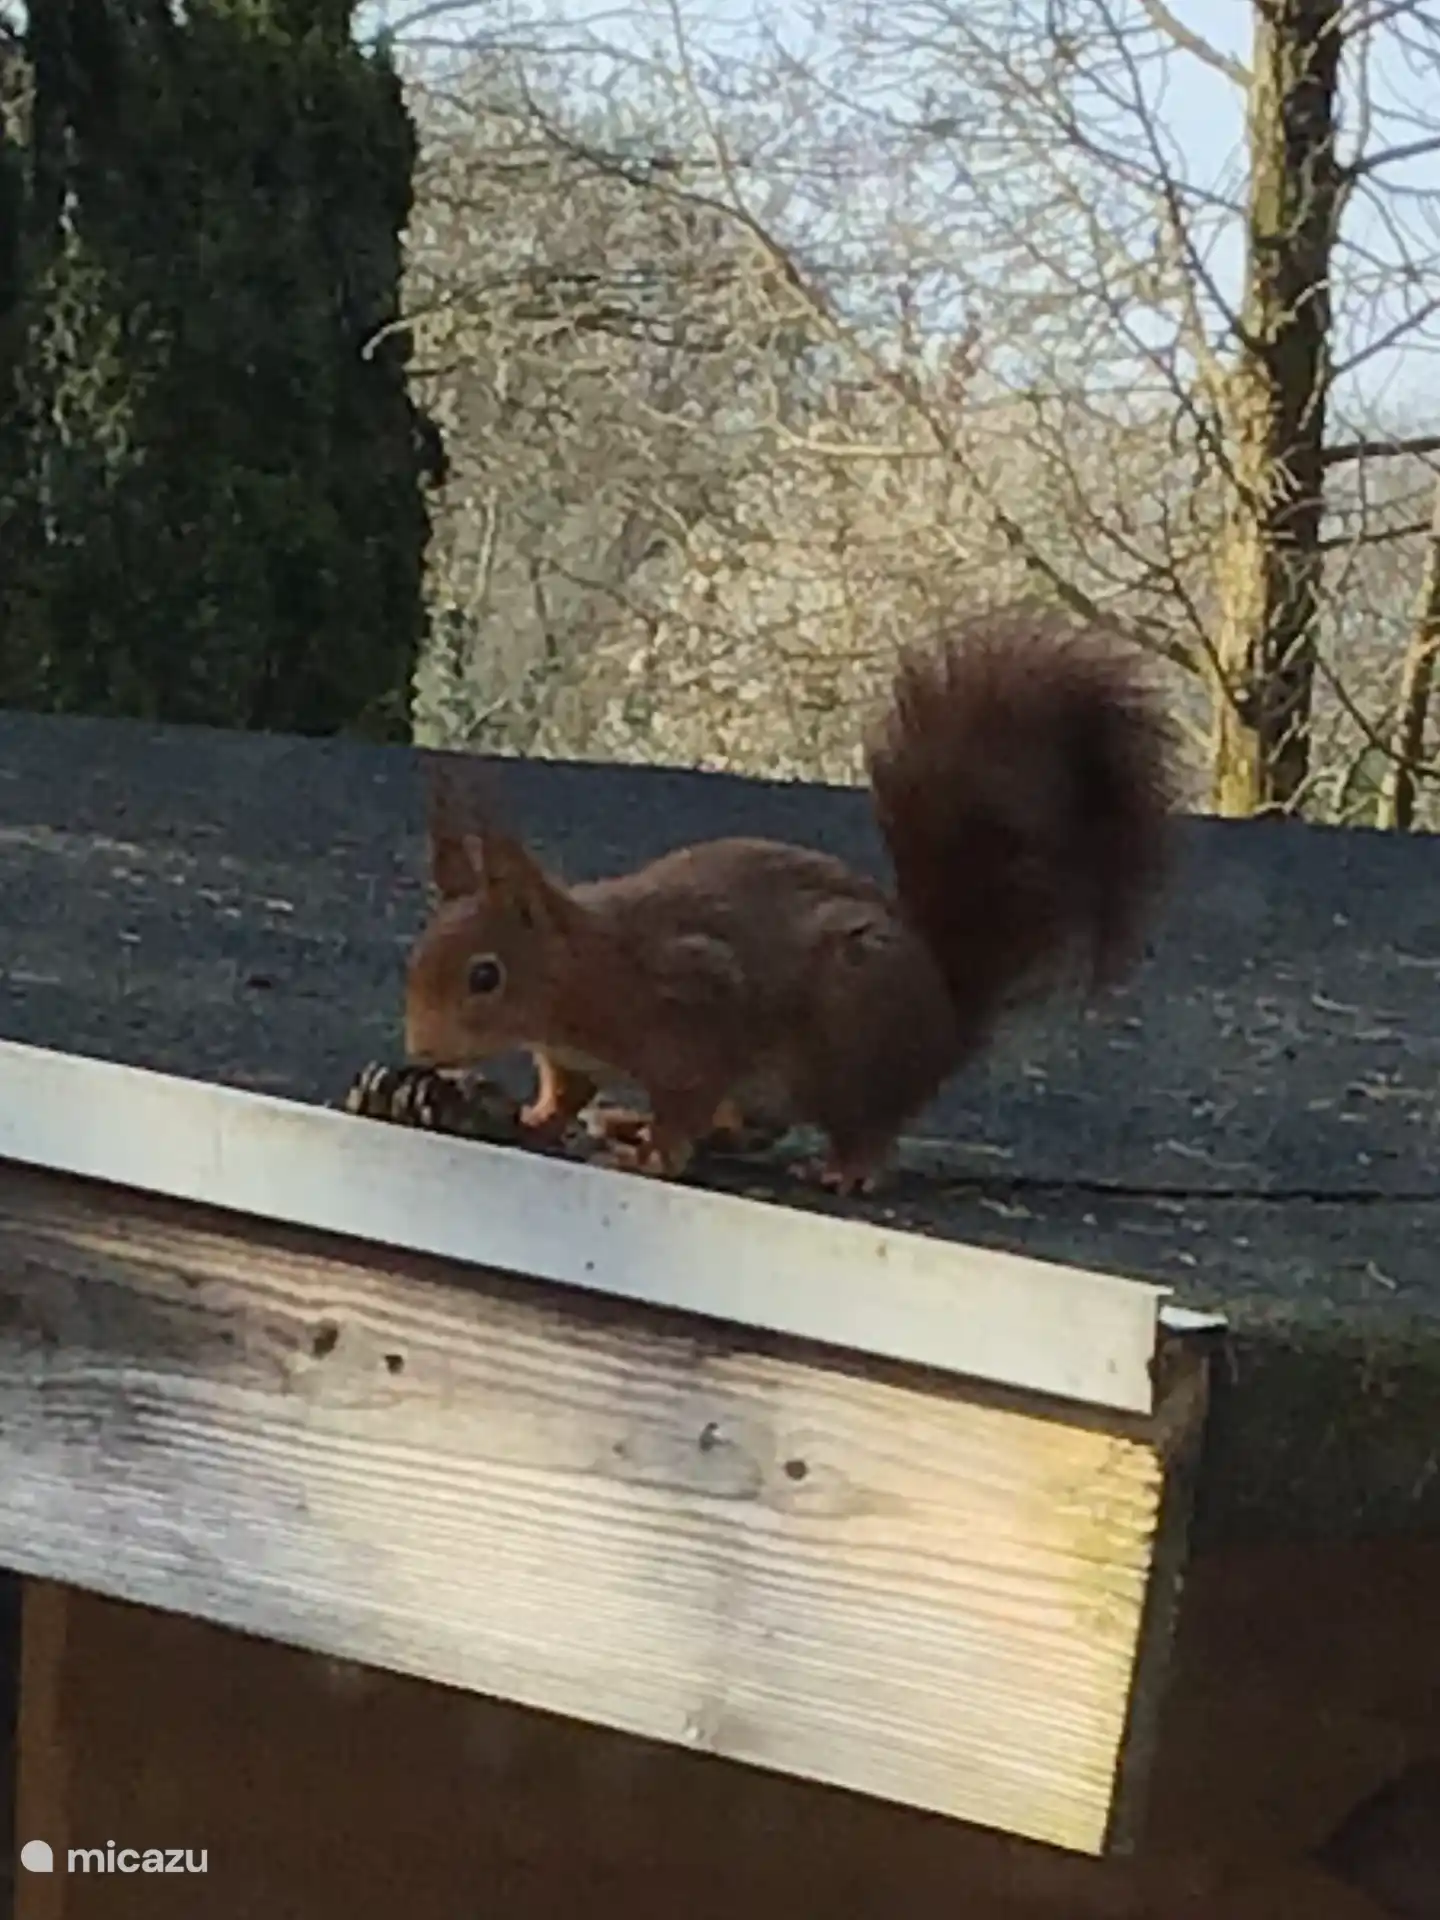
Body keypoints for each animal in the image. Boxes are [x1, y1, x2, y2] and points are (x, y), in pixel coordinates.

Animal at [403, 608, 1180, 1192]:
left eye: (485, 976)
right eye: (417, 960)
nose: (422, 1051)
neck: (584, 970)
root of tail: (944, 1024)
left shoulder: (691, 1005)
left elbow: (684, 1102)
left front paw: (651, 1155)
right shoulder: (568, 1056)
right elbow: (567, 1093)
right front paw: (537, 1119)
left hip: (851, 1041)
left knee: (867, 1124)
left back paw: (843, 1167)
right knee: (753, 1128)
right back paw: (635, 1120)